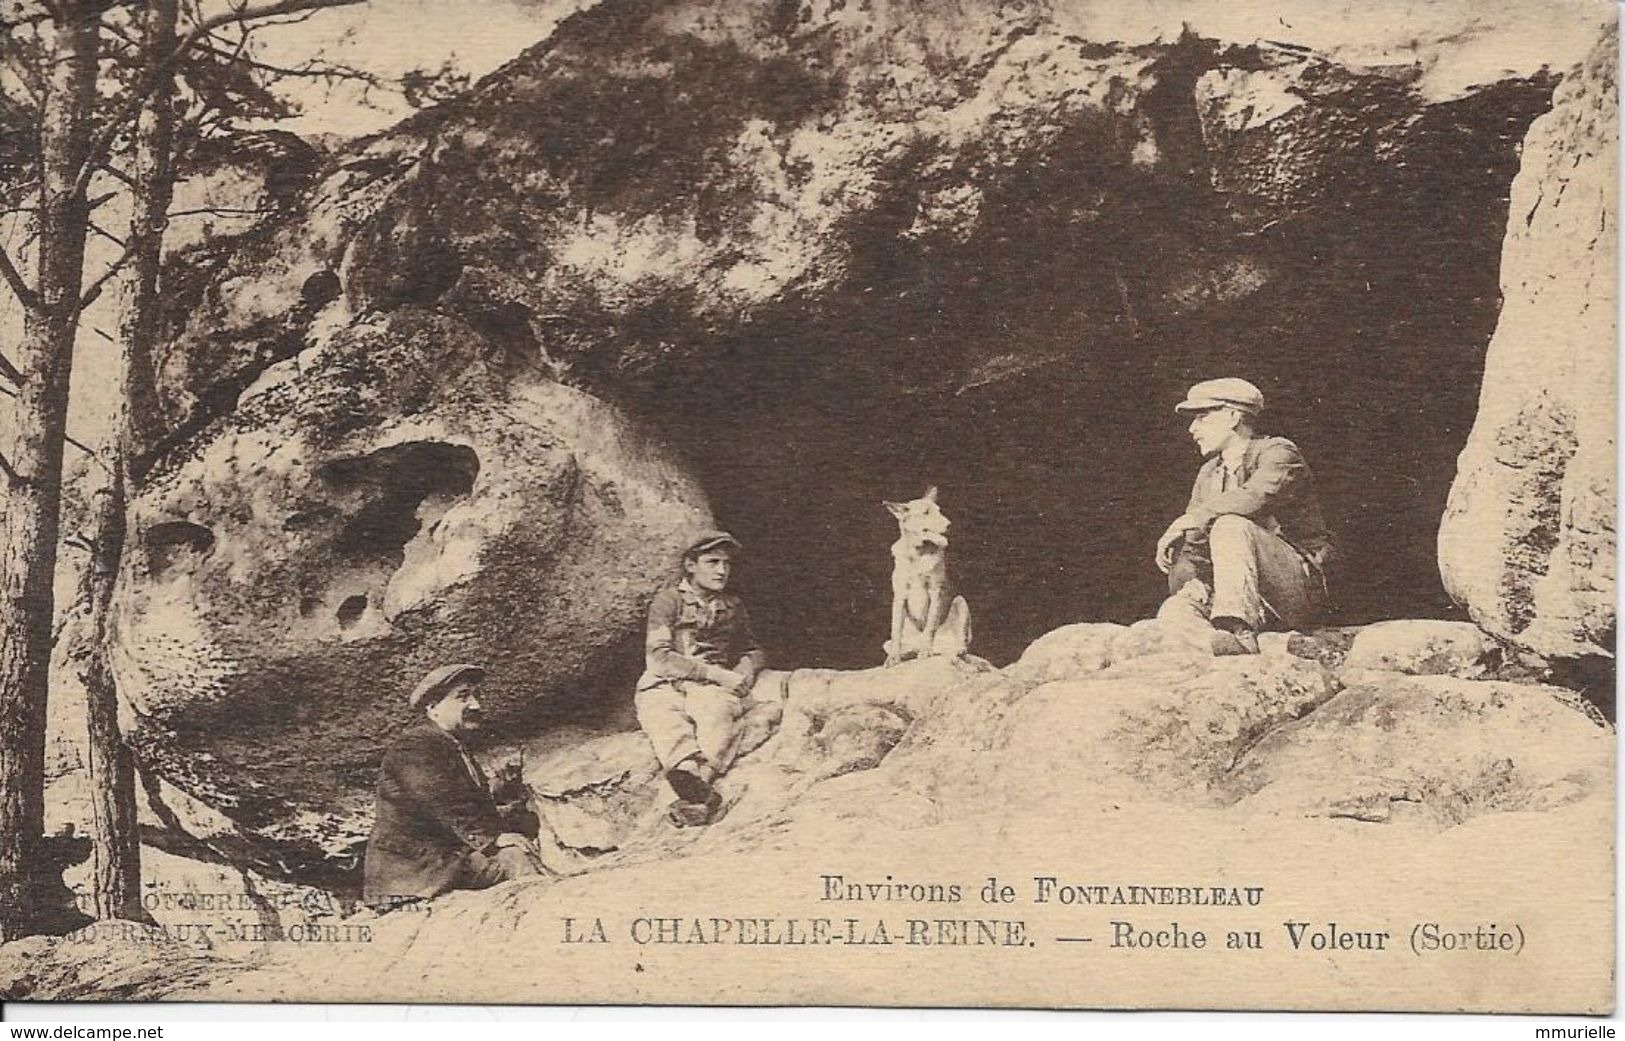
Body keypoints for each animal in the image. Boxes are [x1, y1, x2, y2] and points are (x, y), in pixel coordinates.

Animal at [884, 487, 968, 665]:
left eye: (939, 511)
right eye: (926, 513)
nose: (949, 524)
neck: (918, 554)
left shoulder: (936, 592)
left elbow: (930, 624)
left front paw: (926, 650)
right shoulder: (900, 595)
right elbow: (896, 631)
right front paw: (894, 657)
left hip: (960, 602)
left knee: (959, 642)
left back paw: (955, 650)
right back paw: (909, 653)